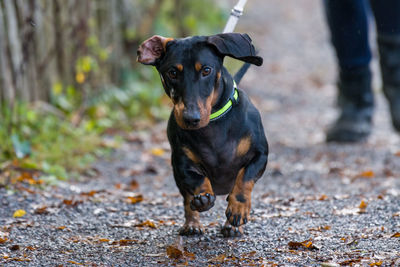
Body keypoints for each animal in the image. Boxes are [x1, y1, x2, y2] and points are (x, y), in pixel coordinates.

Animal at [138, 33, 268, 239]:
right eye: (172, 73)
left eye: (206, 70)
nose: (191, 119)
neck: (213, 126)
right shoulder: (181, 164)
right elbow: (197, 181)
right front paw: (204, 198)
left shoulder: (260, 155)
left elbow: (244, 178)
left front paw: (238, 209)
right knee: (187, 201)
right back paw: (192, 224)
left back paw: (232, 226)